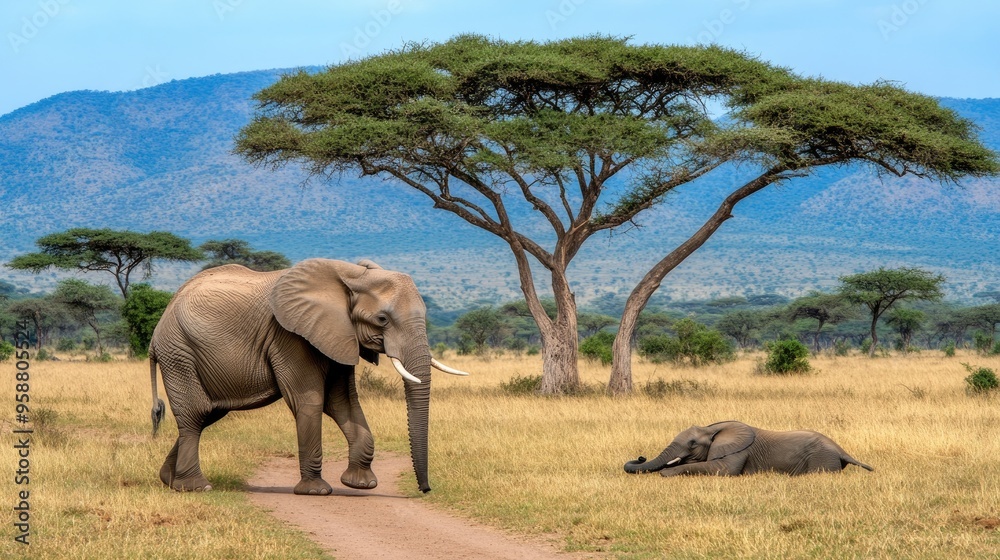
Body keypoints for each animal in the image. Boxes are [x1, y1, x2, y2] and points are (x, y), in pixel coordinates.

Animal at [148, 258, 469, 495]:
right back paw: (196, 487)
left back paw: (170, 481)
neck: (350, 275)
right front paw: (316, 491)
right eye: (382, 319)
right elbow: (310, 401)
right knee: (196, 414)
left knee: (209, 413)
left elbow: (342, 403)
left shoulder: (339, 335)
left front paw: (360, 484)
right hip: (179, 351)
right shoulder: (290, 336)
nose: (425, 490)